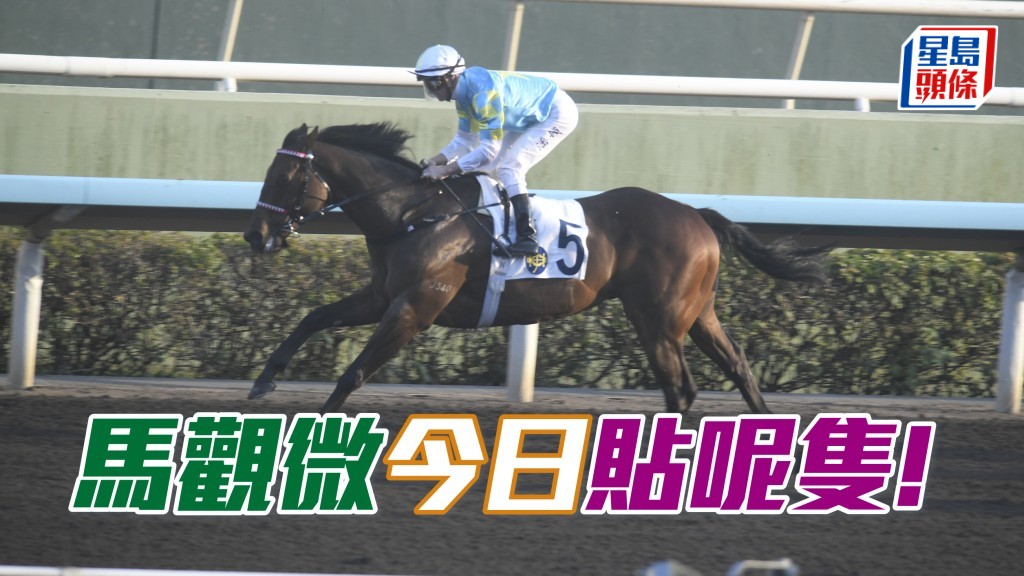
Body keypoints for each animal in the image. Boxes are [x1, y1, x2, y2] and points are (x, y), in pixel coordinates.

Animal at [243, 122, 830, 415]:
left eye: (283, 176)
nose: (255, 235)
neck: (412, 215)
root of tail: (696, 215)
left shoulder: (415, 307)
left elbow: (354, 371)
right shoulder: (383, 295)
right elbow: (313, 318)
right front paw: (265, 381)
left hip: (659, 319)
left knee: (680, 389)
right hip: (696, 312)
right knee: (738, 367)